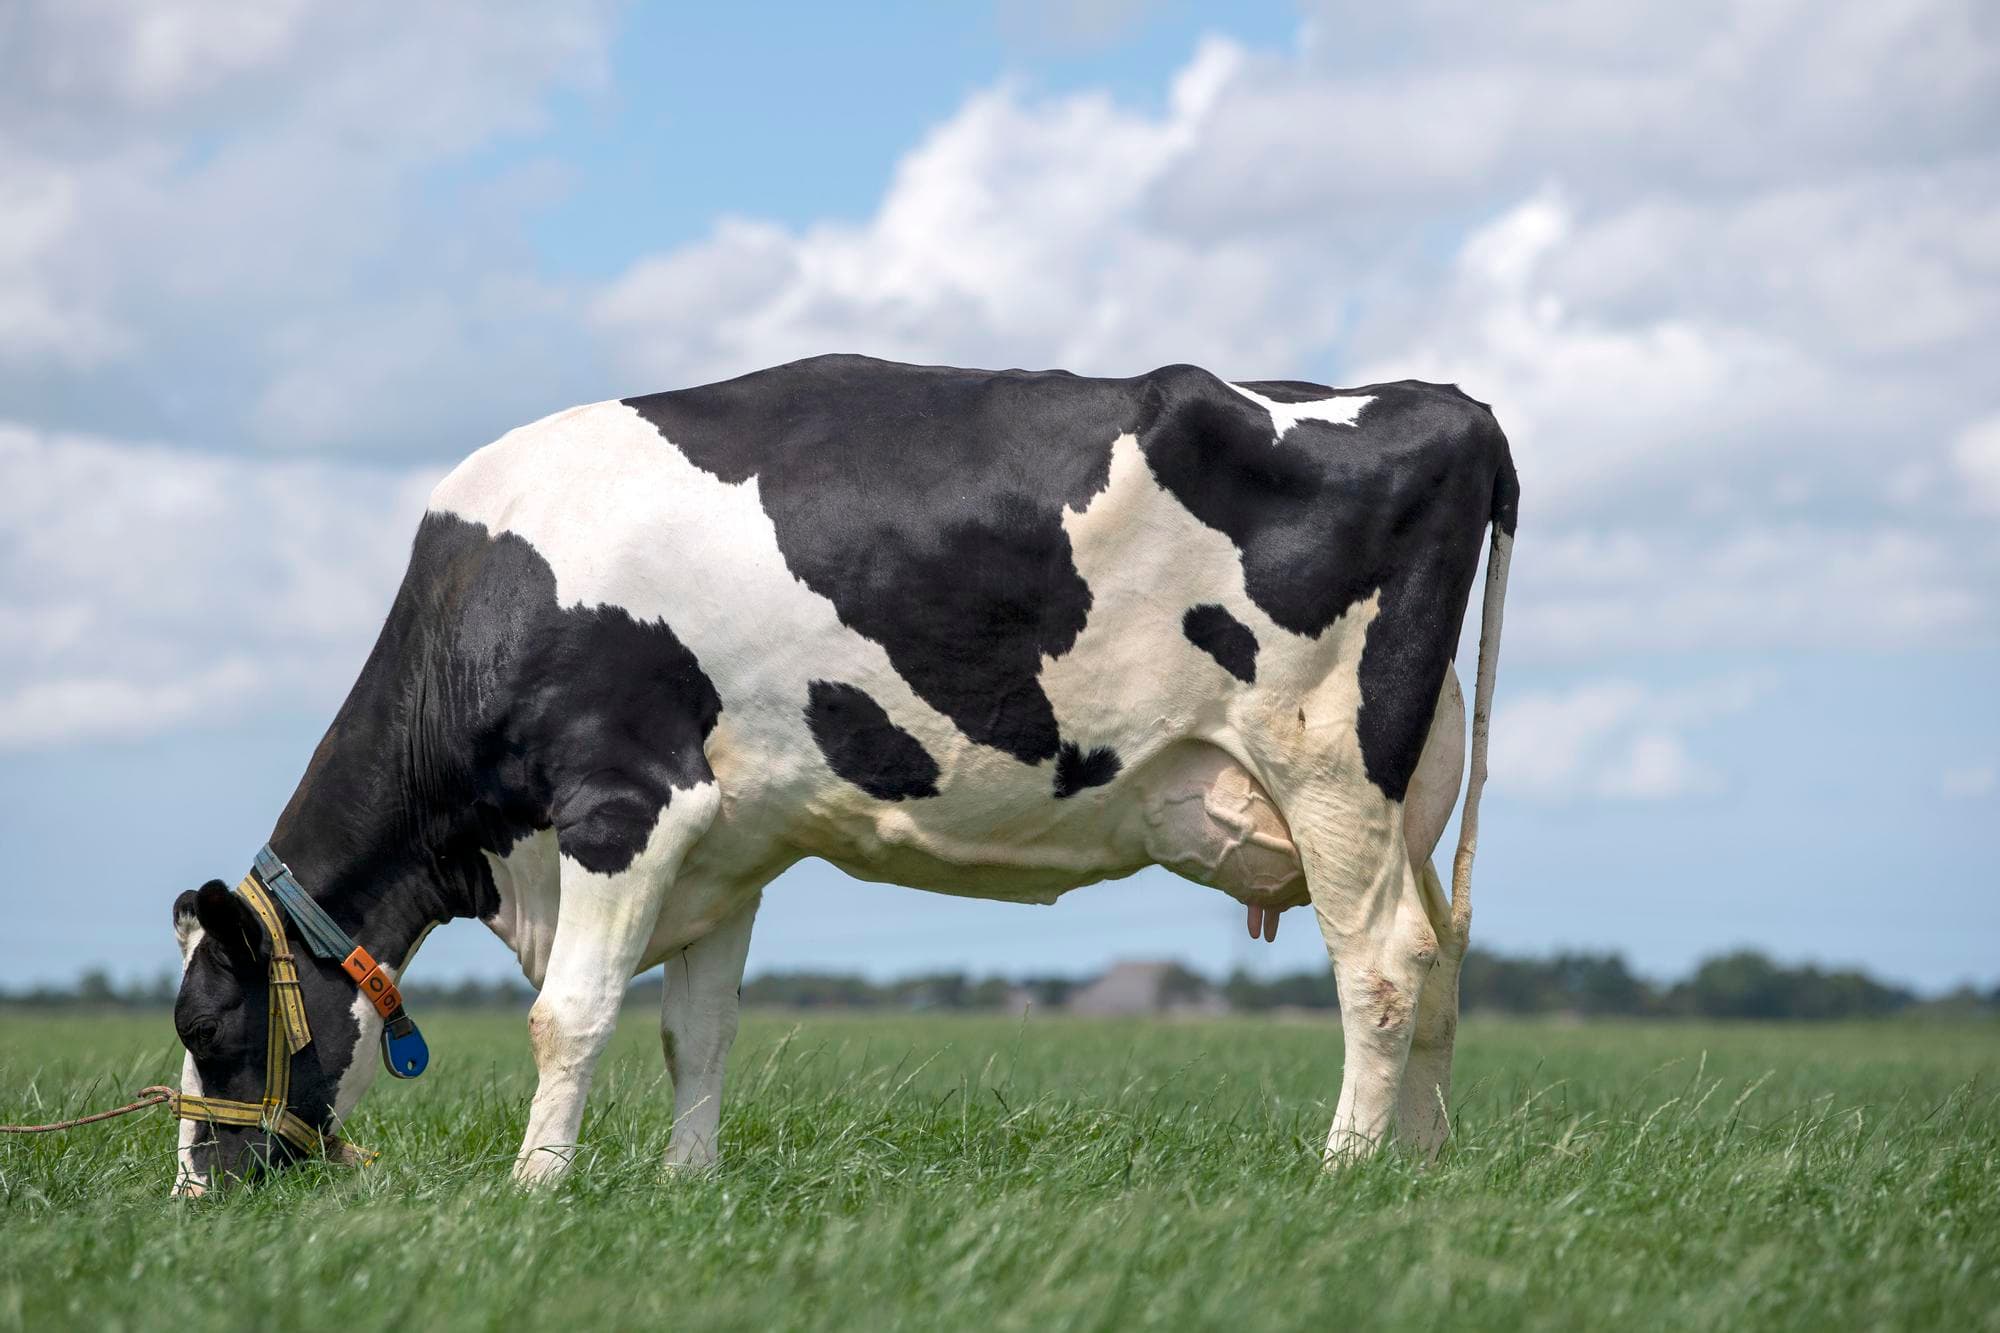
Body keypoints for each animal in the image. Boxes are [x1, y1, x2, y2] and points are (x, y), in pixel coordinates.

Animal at [169, 353, 1515, 1191]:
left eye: (206, 1020)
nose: (195, 1193)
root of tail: (1448, 402)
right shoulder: (724, 841)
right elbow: (695, 1029)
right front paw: (686, 1182)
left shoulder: (624, 801)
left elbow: (572, 1015)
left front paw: (533, 1187)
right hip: (1412, 786)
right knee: (1442, 964)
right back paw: (1422, 1166)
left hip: (1327, 761)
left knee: (1380, 967)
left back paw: (1341, 1172)